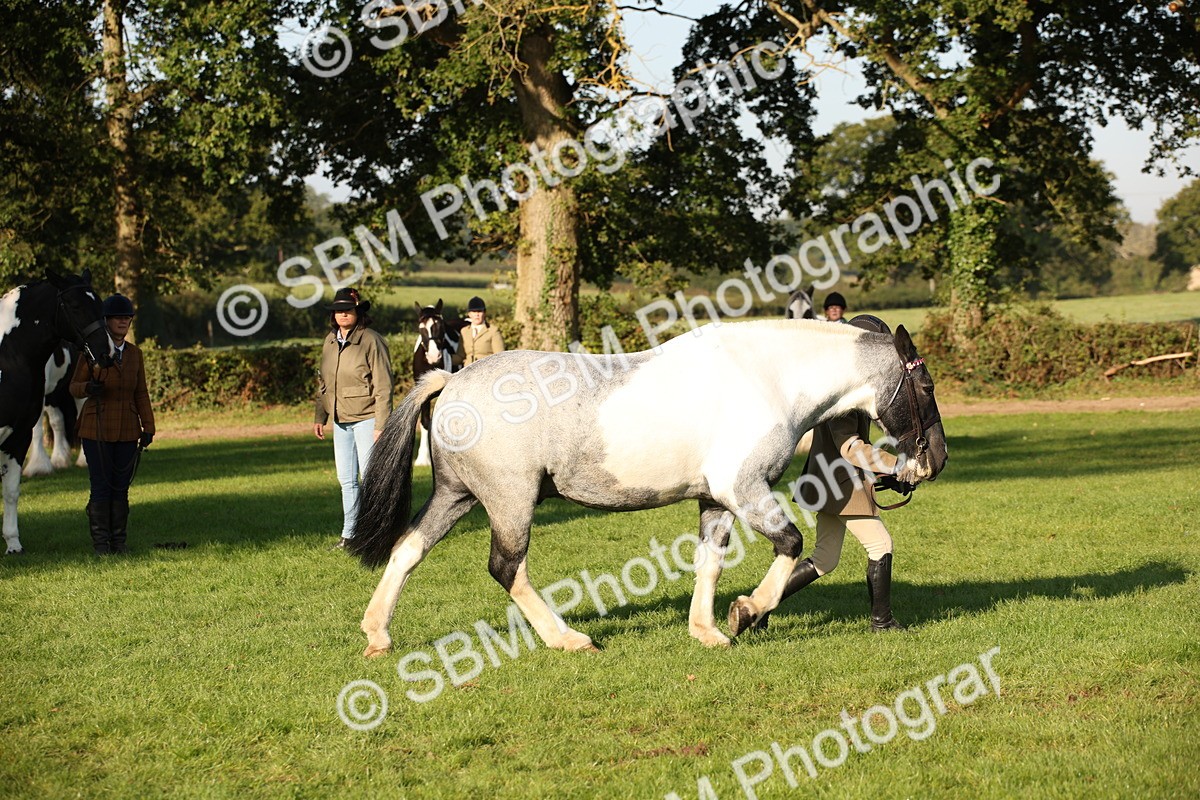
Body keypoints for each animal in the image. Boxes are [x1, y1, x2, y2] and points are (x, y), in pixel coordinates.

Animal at [23, 344, 85, 477]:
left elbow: (36, 429)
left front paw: (38, 467)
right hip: (52, 395)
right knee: (57, 421)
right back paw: (59, 459)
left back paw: (83, 460)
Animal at [348, 319, 947, 657]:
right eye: (924, 384)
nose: (935, 460)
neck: (768, 377)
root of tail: (451, 380)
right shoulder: (744, 488)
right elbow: (791, 545)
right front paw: (747, 612)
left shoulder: (716, 499)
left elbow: (710, 561)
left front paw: (707, 630)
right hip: (510, 502)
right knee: (506, 568)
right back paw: (568, 640)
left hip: (457, 496)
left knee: (407, 549)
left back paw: (377, 636)